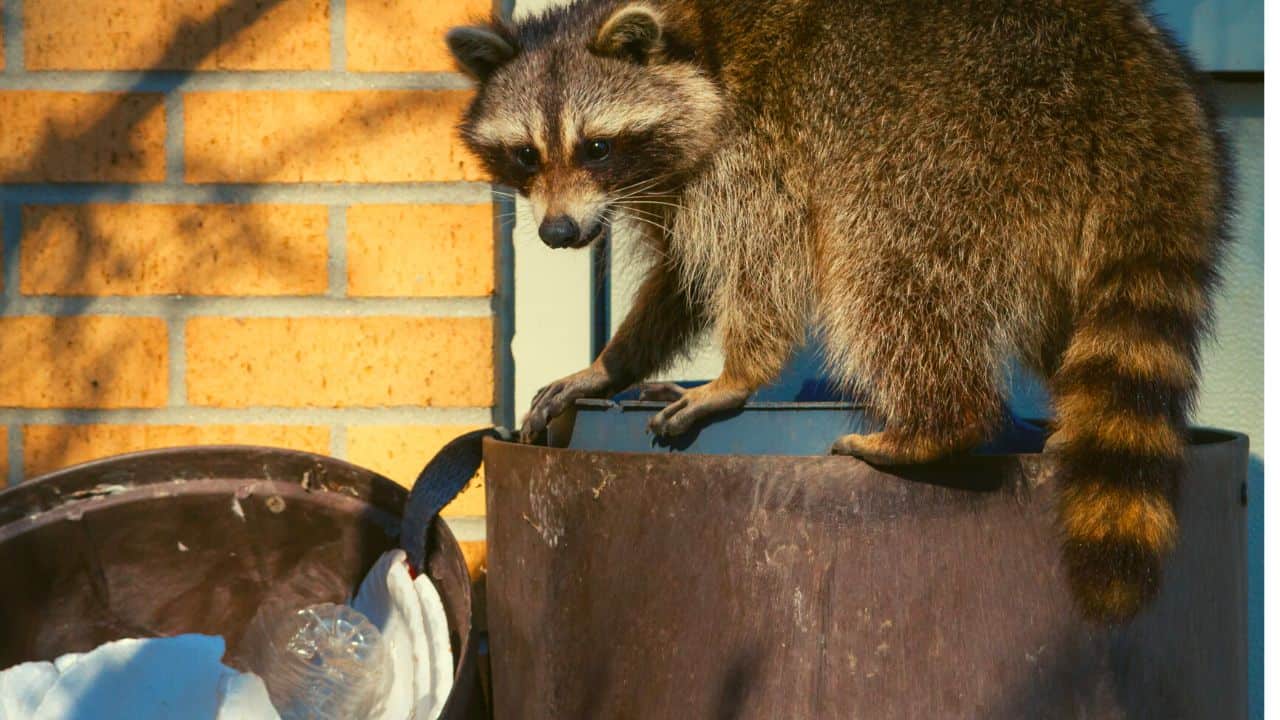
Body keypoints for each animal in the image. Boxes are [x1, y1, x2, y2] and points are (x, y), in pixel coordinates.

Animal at [447, 0, 1229, 622]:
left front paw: (740, 373)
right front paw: (611, 363)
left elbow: (761, 262)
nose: (558, 233)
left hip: (958, 143)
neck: (697, 48)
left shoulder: (751, 152)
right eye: (524, 155)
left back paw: (936, 424)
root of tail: (1138, 87)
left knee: (886, 264)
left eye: (598, 146)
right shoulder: (679, 182)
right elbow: (683, 280)